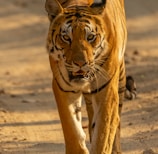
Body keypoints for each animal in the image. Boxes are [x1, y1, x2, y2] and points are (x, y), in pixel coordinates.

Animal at [45, 0, 136, 154]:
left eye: (90, 37)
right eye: (66, 38)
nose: (80, 63)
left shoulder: (107, 91)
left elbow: (103, 134)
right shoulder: (63, 88)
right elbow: (72, 130)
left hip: (120, 78)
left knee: (117, 119)